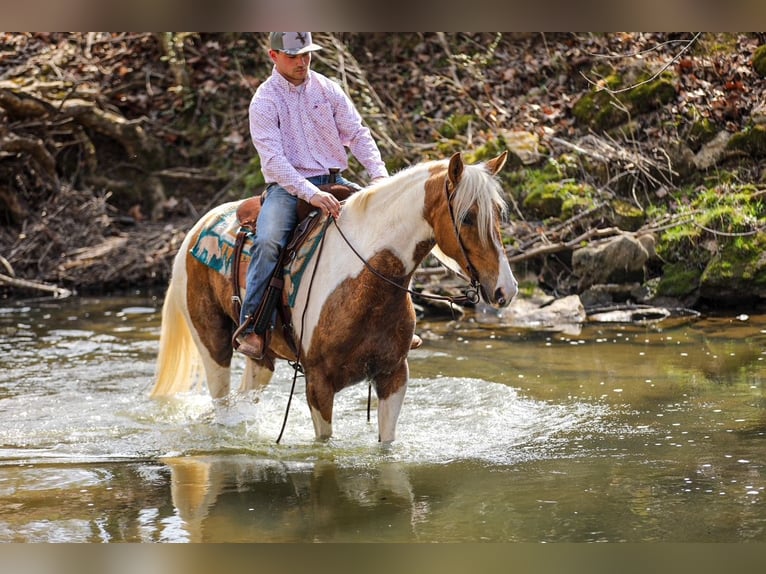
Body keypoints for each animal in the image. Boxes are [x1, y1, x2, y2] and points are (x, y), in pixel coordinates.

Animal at [149, 151, 518, 443]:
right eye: (467, 217)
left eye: (498, 215)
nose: (506, 290)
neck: (367, 280)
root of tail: (196, 228)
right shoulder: (318, 383)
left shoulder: (393, 376)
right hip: (212, 344)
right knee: (222, 400)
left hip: (261, 358)